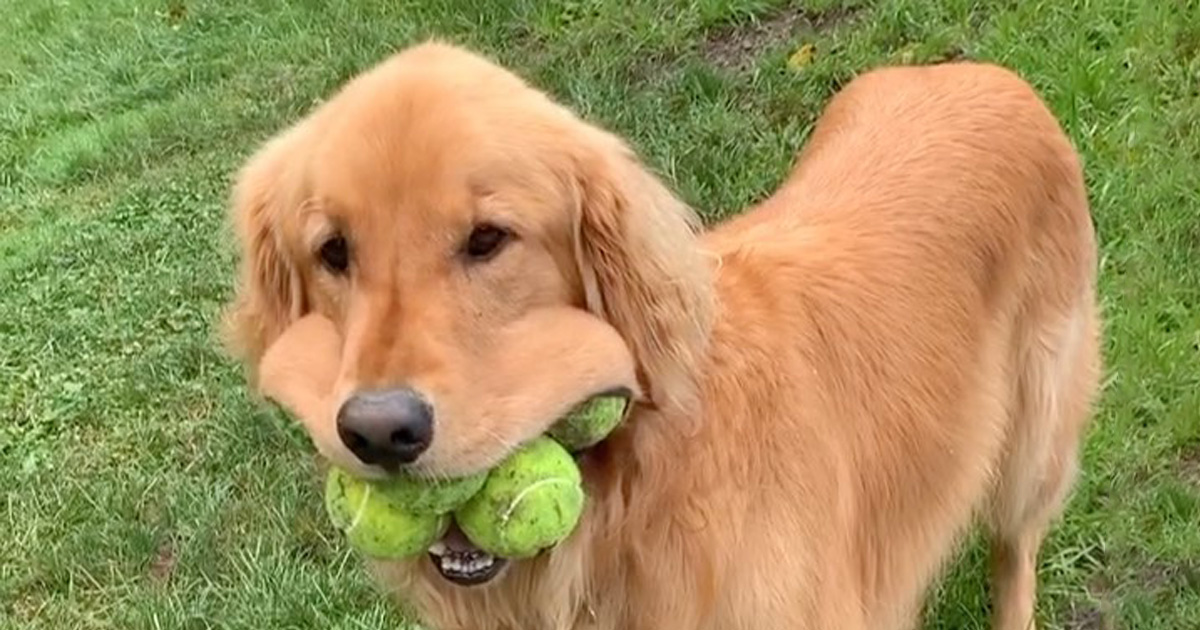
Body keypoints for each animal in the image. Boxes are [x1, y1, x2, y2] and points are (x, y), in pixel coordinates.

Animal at [220, 40, 1099, 628]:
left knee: (1016, 542)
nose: (380, 431)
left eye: (488, 239)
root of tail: (976, 70)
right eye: (333, 251)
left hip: (1035, 430)